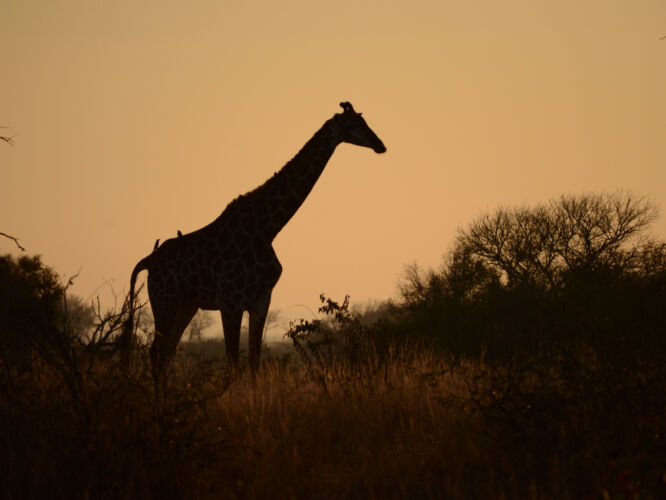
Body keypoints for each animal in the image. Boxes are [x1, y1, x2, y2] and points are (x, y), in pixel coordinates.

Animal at [126, 102, 386, 377]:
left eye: (364, 120)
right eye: (353, 125)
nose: (380, 144)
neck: (266, 229)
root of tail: (148, 261)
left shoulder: (261, 300)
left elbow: (254, 363)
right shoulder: (230, 302)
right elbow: (232, 363)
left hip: (186, 305)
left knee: (166, 353)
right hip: (165, 302)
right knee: (155, 354)